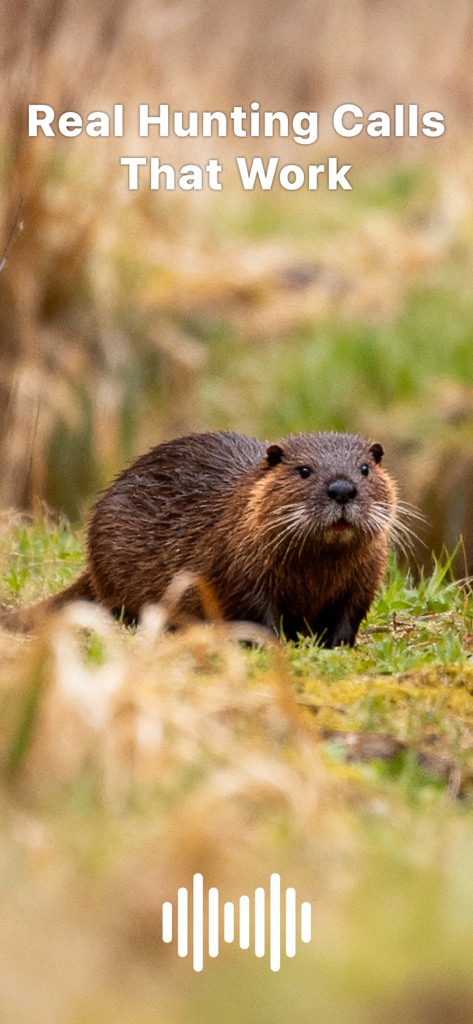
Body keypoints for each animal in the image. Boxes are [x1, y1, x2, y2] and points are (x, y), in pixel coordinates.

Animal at [1, 431, 397, 645]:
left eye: (364, 468)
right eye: (304, 470)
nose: (342, 489)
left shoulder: (364, 580)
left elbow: (348, 617)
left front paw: (337, 645)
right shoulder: (239, 570)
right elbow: (254, 614)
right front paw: (274, 643)